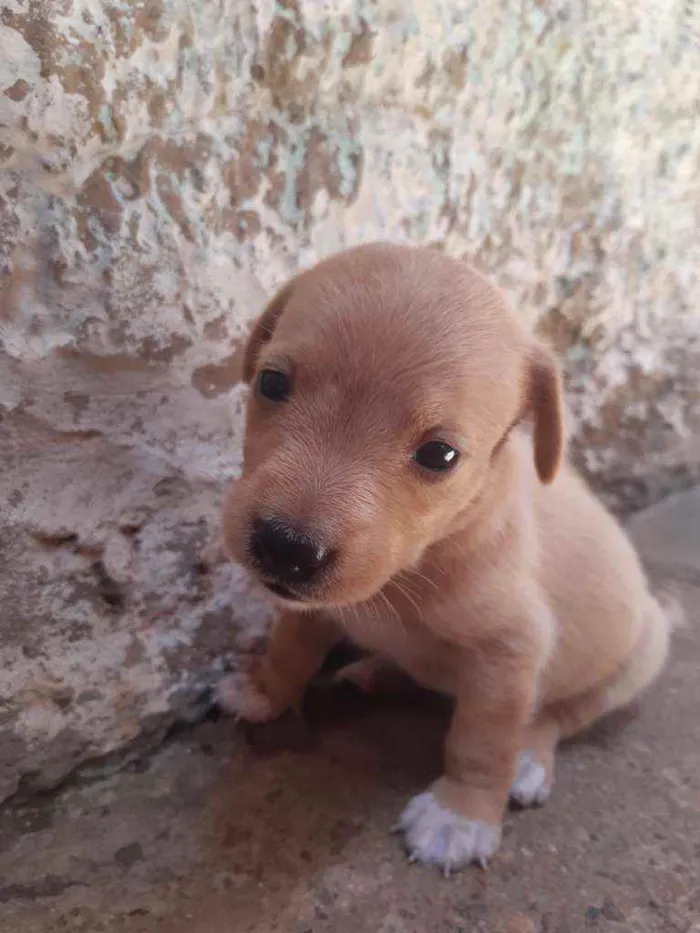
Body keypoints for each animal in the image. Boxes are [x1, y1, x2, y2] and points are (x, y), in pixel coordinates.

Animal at [219, 242, 672, 872]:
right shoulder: (309, 608)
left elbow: (482, 739)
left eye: (440, 455)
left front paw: (462, 814)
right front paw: (262, 689)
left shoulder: (510, 650)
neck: (413, 566)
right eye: (272, 382)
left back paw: (529, 760)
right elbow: (290, 648)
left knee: (558, 716)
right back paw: (378, 670)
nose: (285, 548)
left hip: (637, 657)